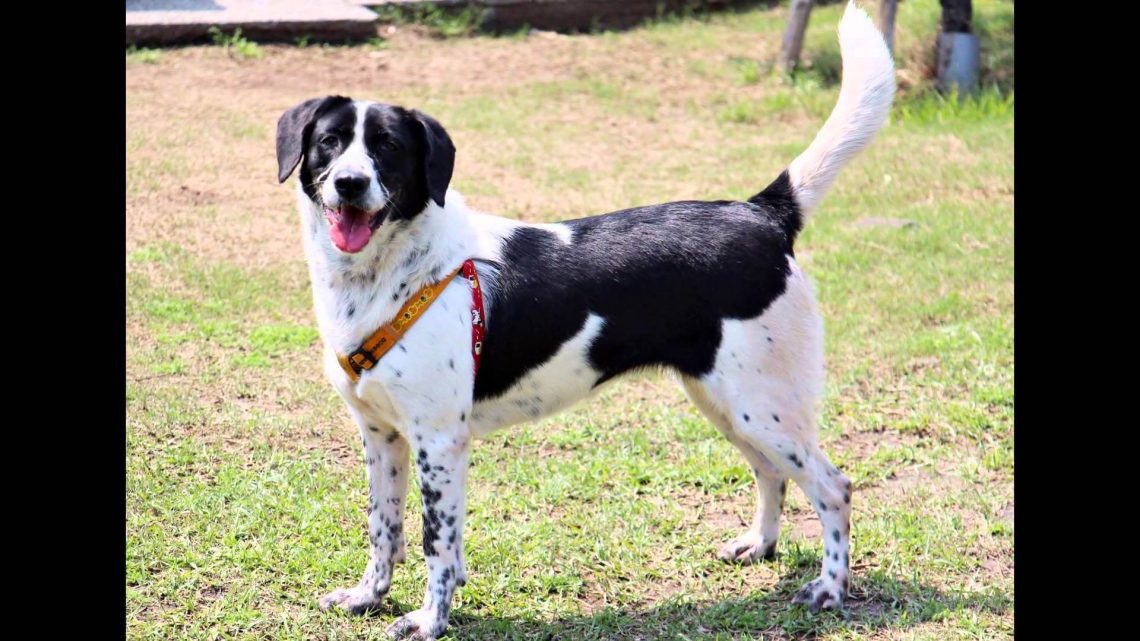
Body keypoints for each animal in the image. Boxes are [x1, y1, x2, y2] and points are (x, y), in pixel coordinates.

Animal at [273, 3, 889, 634]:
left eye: (390, 148)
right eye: (329, 142)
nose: (350, 184)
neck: (402, 272)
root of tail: (761, 212)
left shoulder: (438, 441)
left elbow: (435, 543)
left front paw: (429, 620)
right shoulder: (381, 435)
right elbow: (383, 528)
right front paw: (369, 596)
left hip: (763, 407)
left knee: (833, 486)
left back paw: (830, 588)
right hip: (727, 403)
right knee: (772, 473)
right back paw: (760, 545)